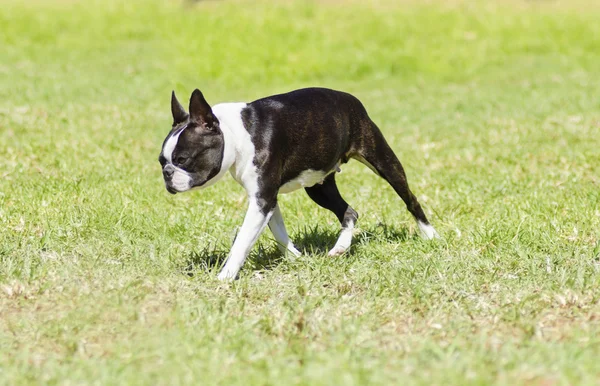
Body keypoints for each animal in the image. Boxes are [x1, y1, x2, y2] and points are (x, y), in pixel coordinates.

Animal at [159, 88, 440, 280]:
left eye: (183, 159)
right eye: (162, 161)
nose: (167, 173)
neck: (235, 134)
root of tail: (351, 100)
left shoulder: (262, 199)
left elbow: (243, 241)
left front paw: (225, 277)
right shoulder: (266, 199)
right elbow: (279, 232)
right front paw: (296, 258)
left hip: (381, 160)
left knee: (409, 198)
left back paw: (430, 235)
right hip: (319, 187)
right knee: (349, 211)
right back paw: (340, 248)